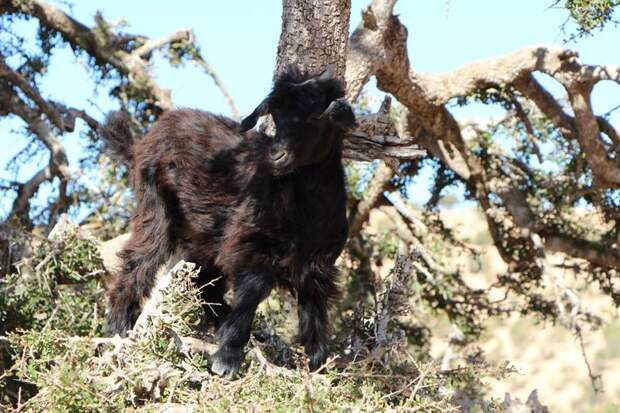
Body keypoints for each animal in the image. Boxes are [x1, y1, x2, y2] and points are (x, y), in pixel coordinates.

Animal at [100, 65, 356, 376]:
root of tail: (142, 142)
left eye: (317, 115)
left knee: (204, 281)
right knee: (140, 260)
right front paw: (227, 359)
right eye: (276, 116)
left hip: (203, 234)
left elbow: (314, 310)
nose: (276, 156)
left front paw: (319, 365)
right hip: (156, 206)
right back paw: (117, 330)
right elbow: (252, 291)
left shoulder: (318, 263)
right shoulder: (249, 243)